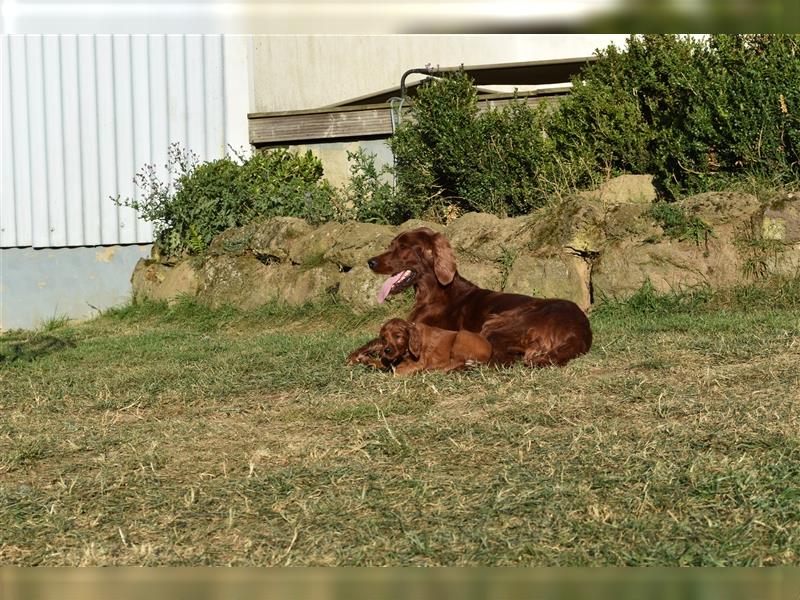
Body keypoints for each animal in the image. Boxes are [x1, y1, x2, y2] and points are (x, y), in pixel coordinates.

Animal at [346, 229, 592, 368]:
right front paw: (358, 355)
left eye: (403, 247)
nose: (371, 262)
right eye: (391, 245)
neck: (434, 292)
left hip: (497, 322)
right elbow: (376, 341)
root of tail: (579, 331)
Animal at [350, 318, 494, 376]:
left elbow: (396, 371)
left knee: (453, 363)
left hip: (461, 336)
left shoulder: (419, 363)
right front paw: (366, 360)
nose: (386, 350)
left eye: (398, 336)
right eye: (384, 339)